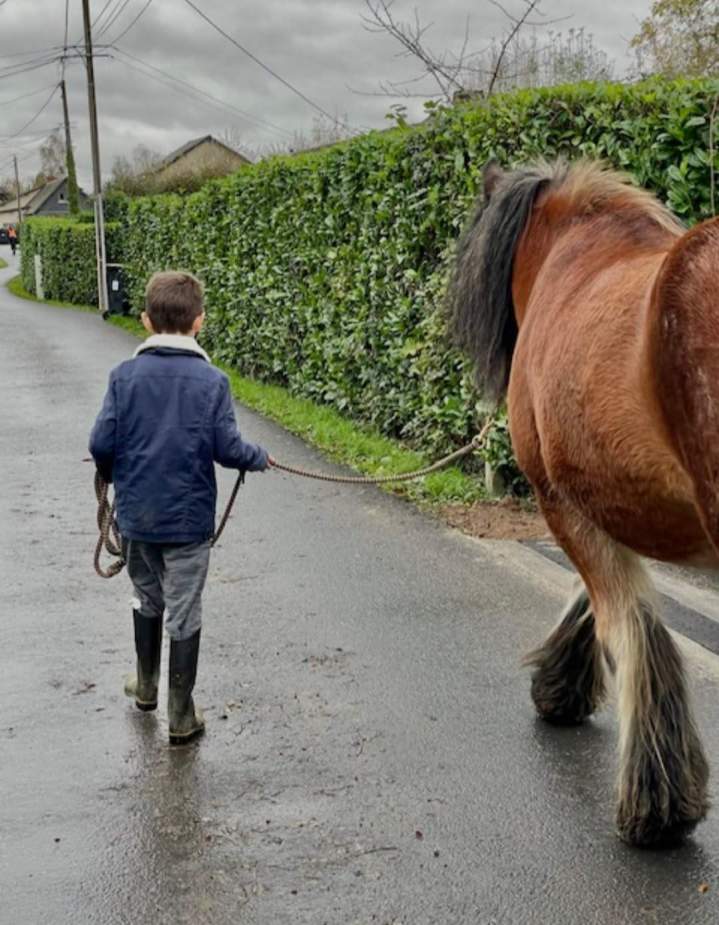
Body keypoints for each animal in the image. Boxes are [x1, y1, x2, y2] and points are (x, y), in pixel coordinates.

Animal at [447, 158, 718, 848]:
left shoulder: (559, 498)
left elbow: (629, 619)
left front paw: (657, 798)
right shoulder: (604, 499)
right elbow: (603, 603)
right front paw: (561, 683)